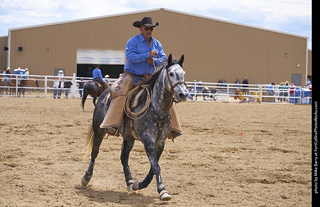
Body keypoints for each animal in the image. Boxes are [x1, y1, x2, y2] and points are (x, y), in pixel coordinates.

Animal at [81, 54, 189, 201]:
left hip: (128, 138)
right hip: (99, 130)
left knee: (123, 157)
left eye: (183, 73)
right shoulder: (148, 141)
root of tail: (105, 93)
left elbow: (153, 167)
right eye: (171, 73)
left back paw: (130, 182)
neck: (155, 108)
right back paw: (86, 177)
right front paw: (162, 190)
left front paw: (140, 184)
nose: (183, 94)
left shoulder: (160, 143)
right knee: (94, 152)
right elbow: (156, 166)